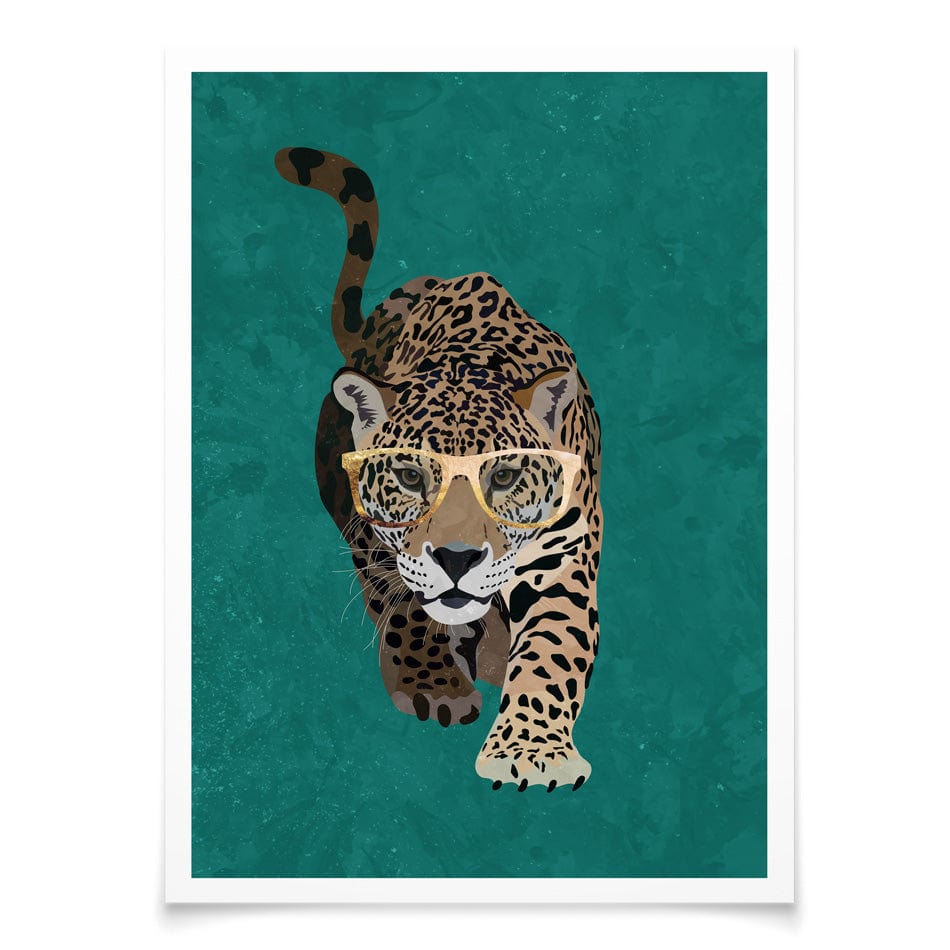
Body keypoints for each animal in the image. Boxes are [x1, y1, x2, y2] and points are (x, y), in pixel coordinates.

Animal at [274, 147, 603, 791]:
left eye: (503, 477)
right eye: (409, 476)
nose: (456, 559)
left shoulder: (563, 556)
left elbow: (553, 650)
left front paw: (531, 752)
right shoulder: (376, 537)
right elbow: (404, 605)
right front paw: (434, 685)